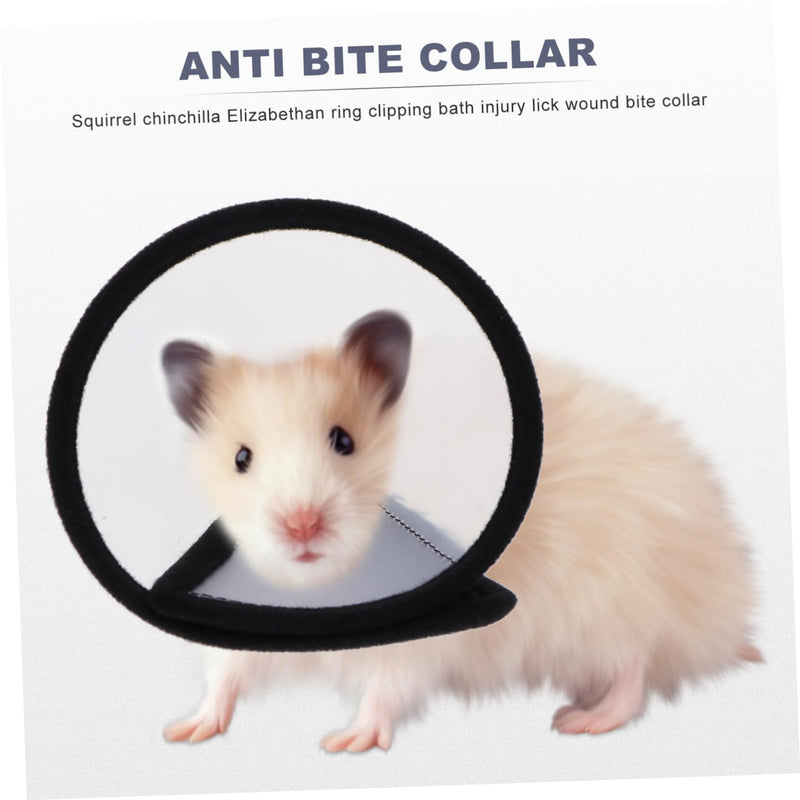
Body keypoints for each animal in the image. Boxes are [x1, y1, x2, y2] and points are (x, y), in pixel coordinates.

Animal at [161, 311, 761, 749]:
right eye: (241, 458)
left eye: (344, 441)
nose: (301, 525)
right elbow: (224, 674)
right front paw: (182, 731)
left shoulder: (421, 641)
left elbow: (386, 685)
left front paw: (344, 742)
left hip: (615, 597)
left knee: (635, 665)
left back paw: (579, 720)